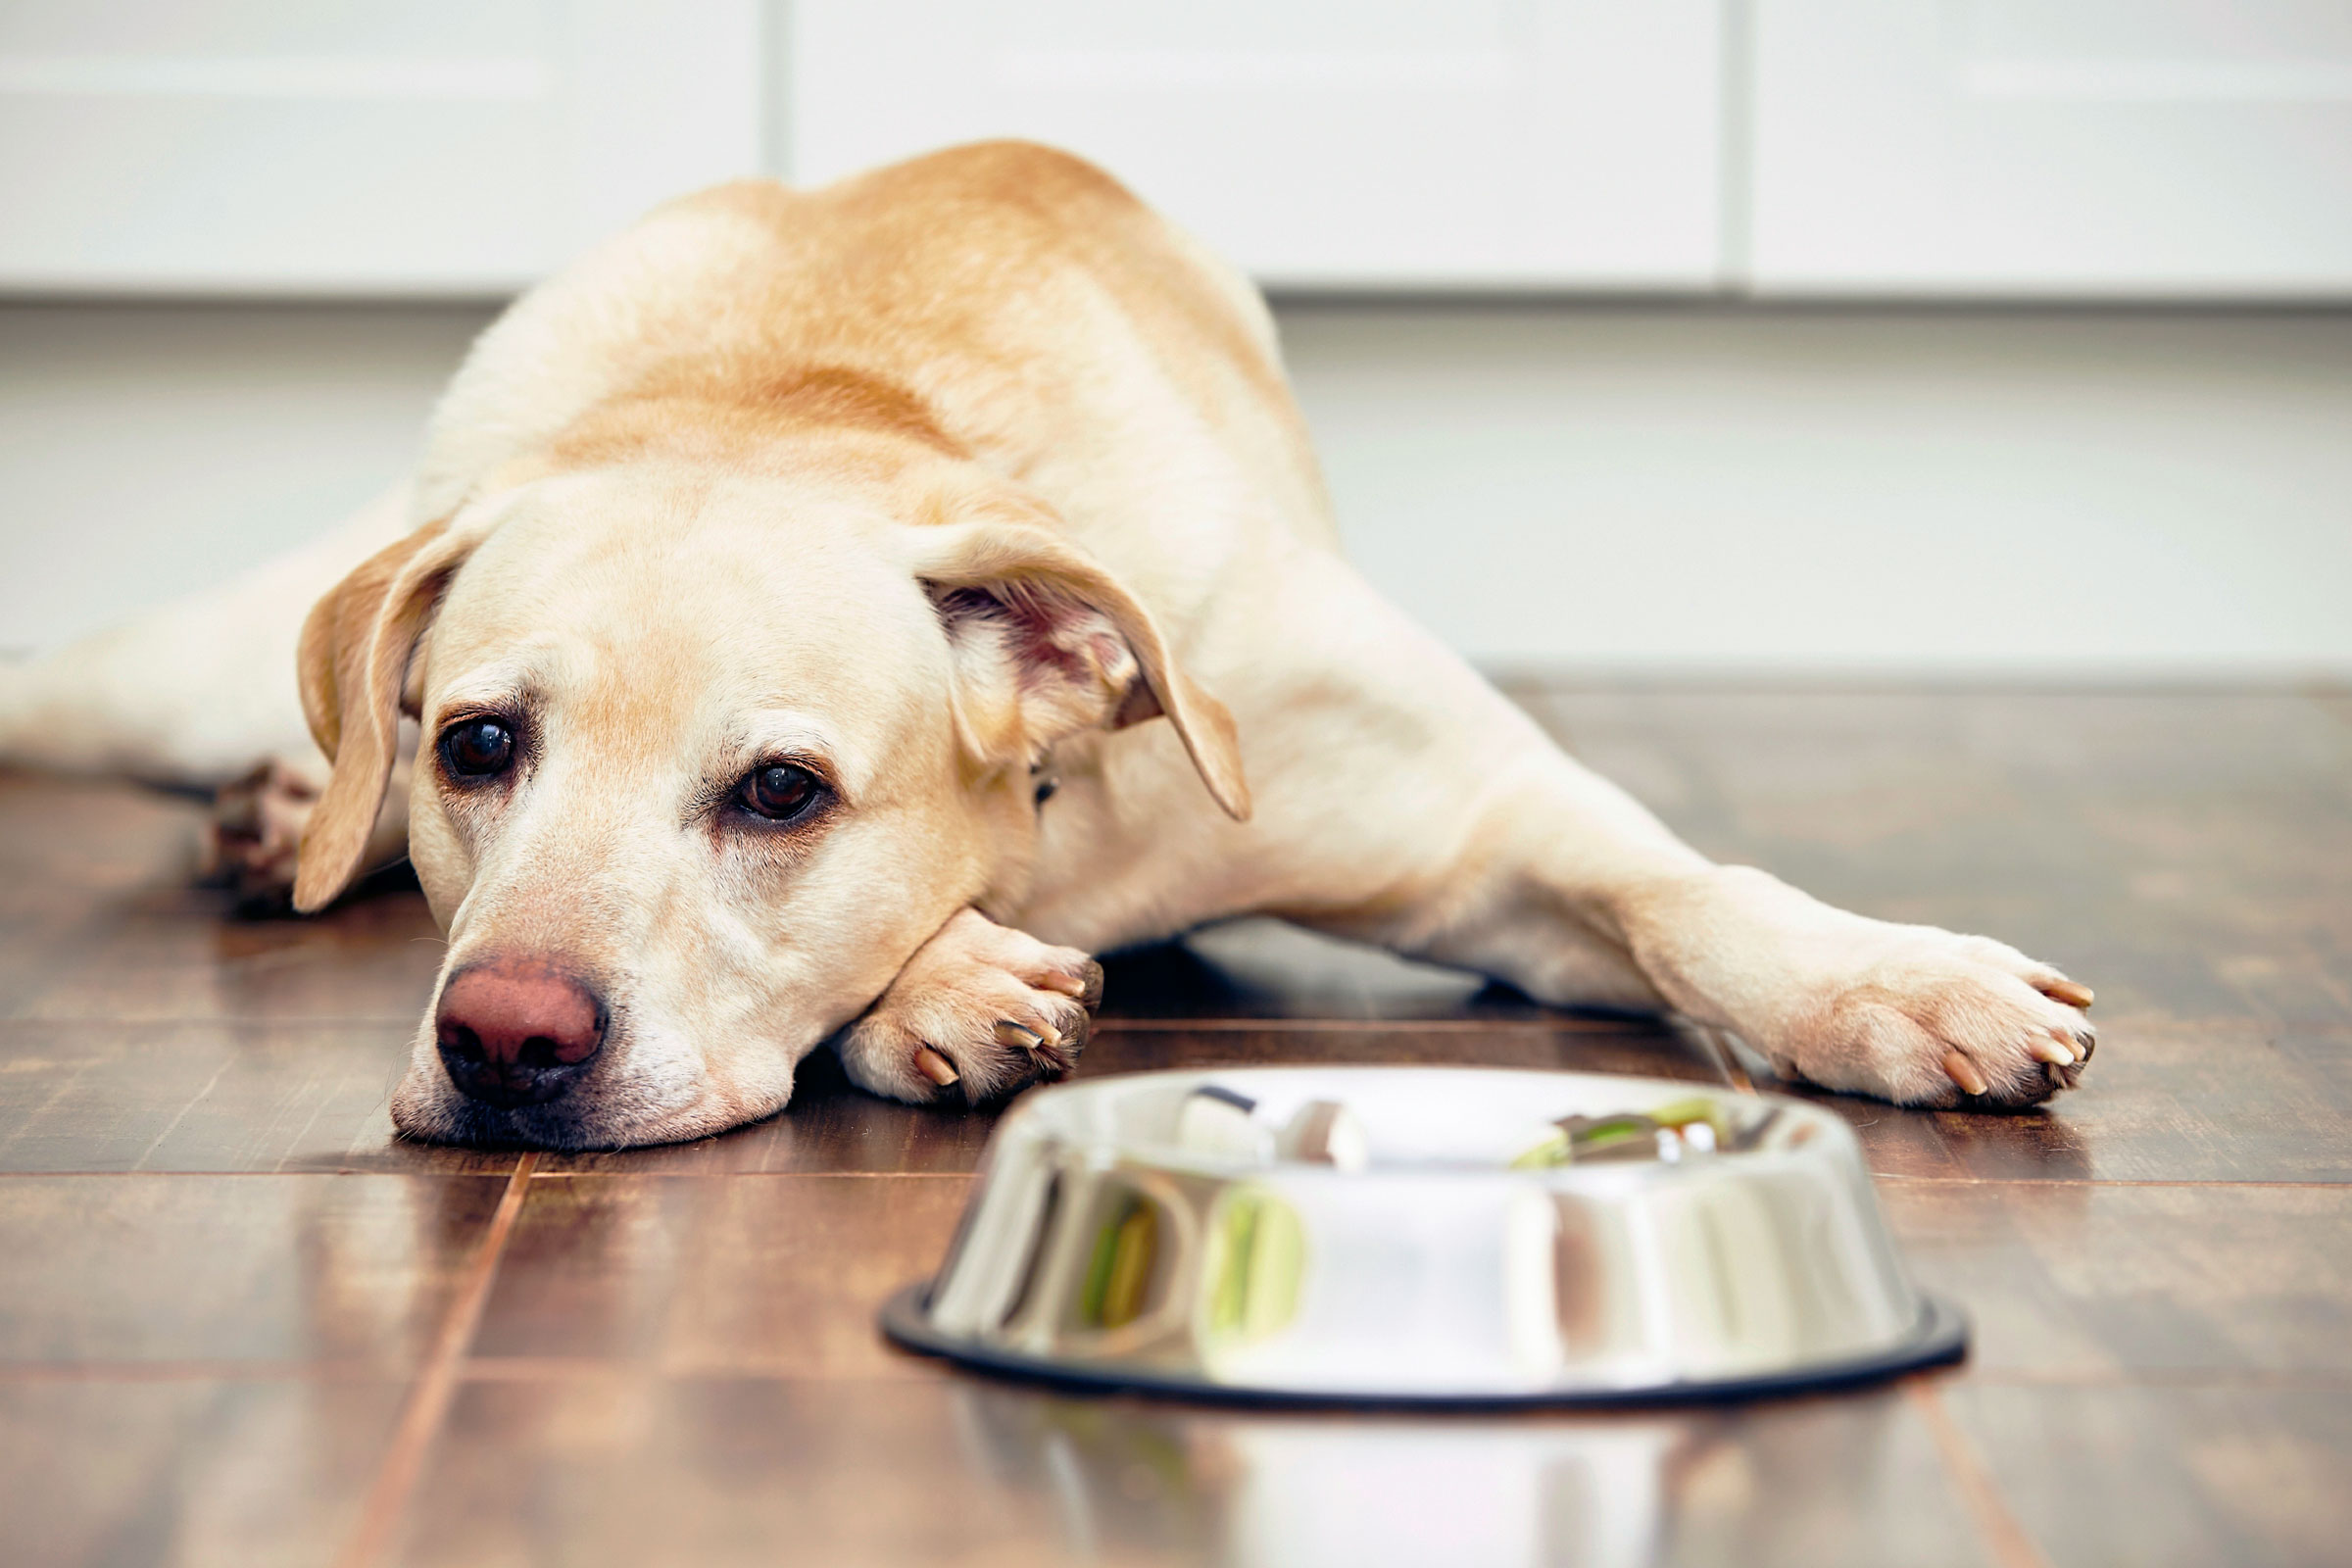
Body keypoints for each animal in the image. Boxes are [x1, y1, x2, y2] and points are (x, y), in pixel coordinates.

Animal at [0, 143, 2097, 1152]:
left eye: (781, 792)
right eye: (477, 749)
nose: (504, 1041)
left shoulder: (1492, 827)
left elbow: (1689, 892)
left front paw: (1892, 983)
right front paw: (948, 981)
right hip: (147, 681)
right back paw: (287, 814)